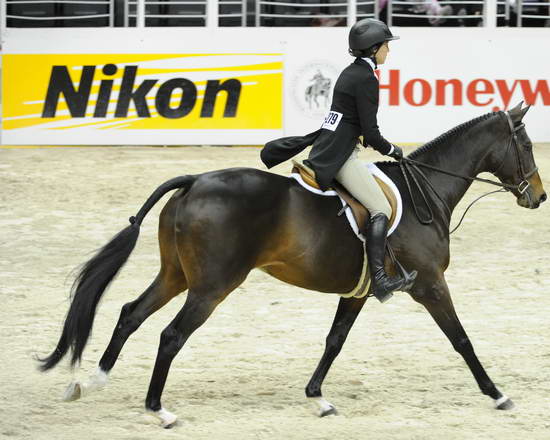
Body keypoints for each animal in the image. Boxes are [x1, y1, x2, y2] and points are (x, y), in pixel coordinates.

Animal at [37, 102, 548, 426]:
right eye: (525, 144)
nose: (539, 197)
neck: (428, 192)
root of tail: (195, 179)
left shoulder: (359, 290)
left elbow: (334, 341)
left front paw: (318, 399)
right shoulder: (430, 284)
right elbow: (461, 339)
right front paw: (498, 394)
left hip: (176, 275)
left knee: (131, 314)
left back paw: (91, 382)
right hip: (212, 286)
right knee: (171, 335)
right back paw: (158, 410)